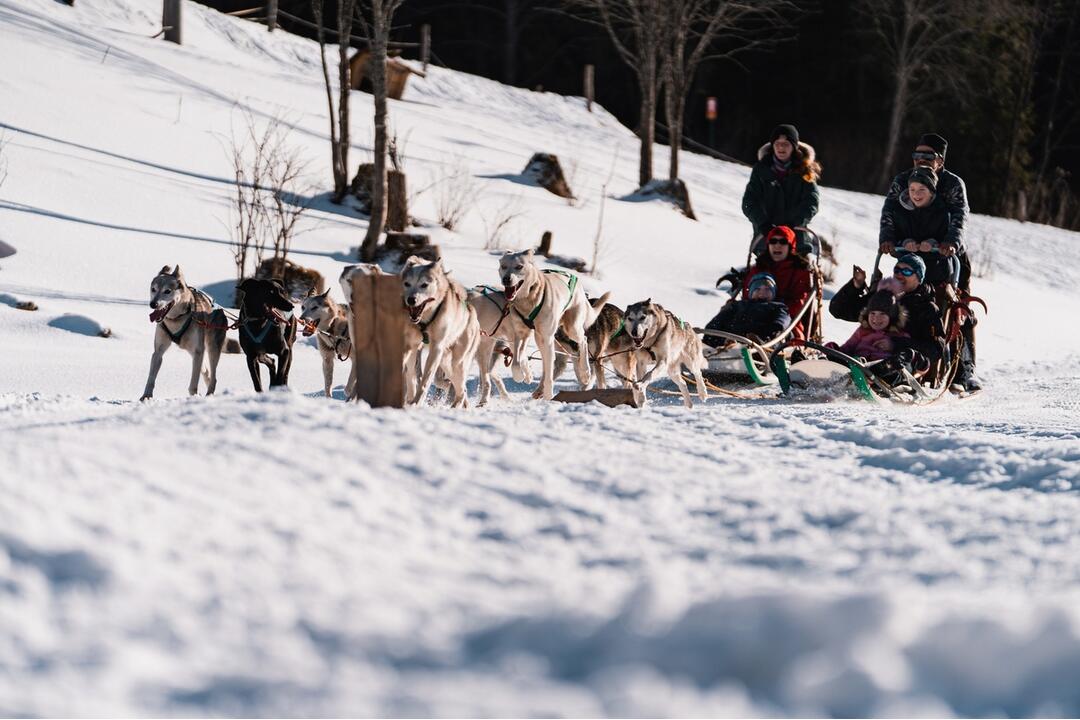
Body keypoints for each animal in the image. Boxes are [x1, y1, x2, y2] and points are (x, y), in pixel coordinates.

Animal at [141, 264, 227, 399]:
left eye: (167, 291)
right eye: (153, 289)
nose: (153, 304)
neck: (176, 318)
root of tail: (220, 308)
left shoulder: (198, 351)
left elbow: (193, 385)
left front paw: (195, 396)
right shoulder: (158, 352)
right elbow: (151, 378)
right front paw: (146, 396)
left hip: (211, 349)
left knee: (213, 376)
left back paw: (209, 394)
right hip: (194, 353)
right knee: (206, 372)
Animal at [401, 257, 477, 405]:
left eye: (424, 285)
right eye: (407, 284)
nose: (411, 299)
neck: (425, 319)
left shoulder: (436, 348)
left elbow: (425, 381)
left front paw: (416, 402)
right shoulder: (412, 346)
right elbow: (410, 377)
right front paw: (410, 400)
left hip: (456, 363)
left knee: (461, 390)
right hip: (445, 362)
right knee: (457, 387)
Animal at [496, 250, 609, 399]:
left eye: (519, 266)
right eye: (503, 266)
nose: (506, 279)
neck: (529, 299)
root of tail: (577, 281)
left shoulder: (547, 338)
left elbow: (549, 373)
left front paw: (549, 396)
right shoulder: (520, 334)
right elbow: (516, 362)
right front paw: (521, 376)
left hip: (571, 328)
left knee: (583, 341)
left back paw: (585, 372)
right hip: (538, 338)